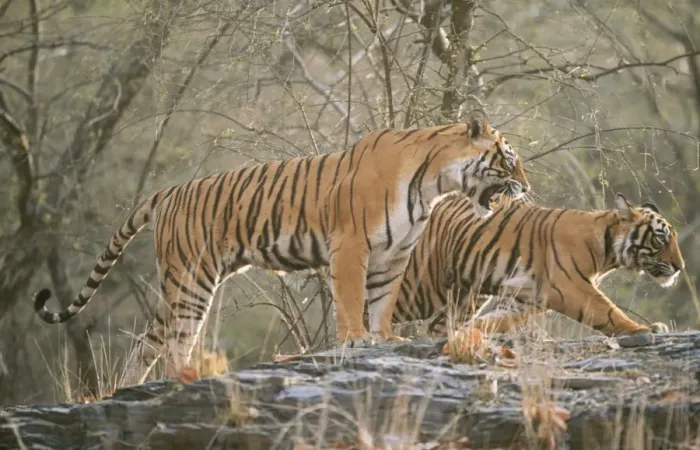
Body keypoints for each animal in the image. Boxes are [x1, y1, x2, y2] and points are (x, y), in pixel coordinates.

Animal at [33, 117, 530, 386]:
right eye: (510, 159)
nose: (526, 186)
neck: (434, 183)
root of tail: (169, 191)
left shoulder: (395, 254)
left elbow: (382, 303)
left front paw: (386, 339)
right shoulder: (351, 245)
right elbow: (352, 300)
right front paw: (356, 340)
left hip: (173, 285)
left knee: (146, 345)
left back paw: (126, 388)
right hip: (193, 280)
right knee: (177, 341)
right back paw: (190, 375)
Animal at [394, 192, 685, 338]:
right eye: (661, 237)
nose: (680, 266)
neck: (608, 253)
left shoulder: (528, 298)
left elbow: (497, 320)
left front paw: (470, 334)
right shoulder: (570, 287)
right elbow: (609, 312)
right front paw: (644, 330)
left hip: (467, 295)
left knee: (437, 325)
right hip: (422, 287)